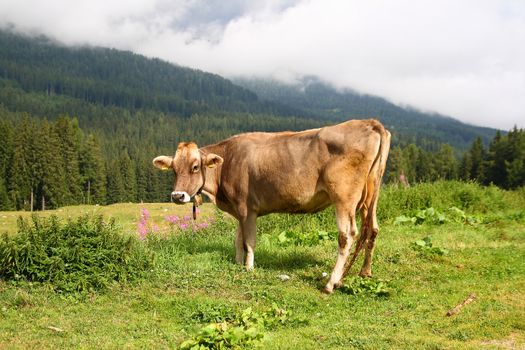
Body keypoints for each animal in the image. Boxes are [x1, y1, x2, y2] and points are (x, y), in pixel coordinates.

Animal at [151, 118, 388, 292]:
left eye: (195, 166)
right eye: (173, 169)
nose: (178, 196)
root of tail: (368, 122)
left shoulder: (247, 208)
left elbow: (248, 241)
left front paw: (248, 268)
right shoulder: (240, 209)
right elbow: (237, 239)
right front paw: (237, 263)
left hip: (344, 197)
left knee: (347, 235)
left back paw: (331, 283)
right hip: (370, 195)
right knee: (372, 229)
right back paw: (364, 272)